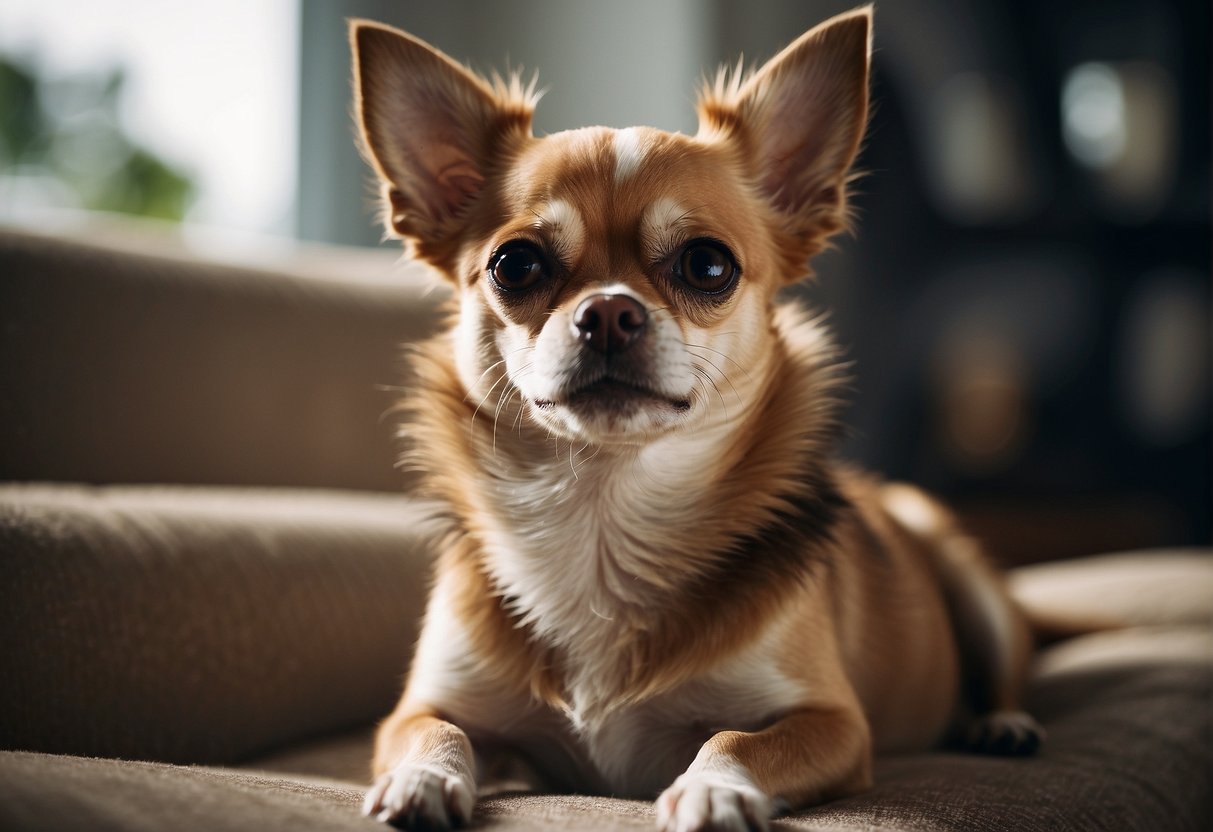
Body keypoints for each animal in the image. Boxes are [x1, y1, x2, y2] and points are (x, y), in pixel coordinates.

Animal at [351, 8, 1043, 832]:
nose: (608, 313)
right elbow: (436, 732)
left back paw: (1001, 722)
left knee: (1007, 670)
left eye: (707, 265)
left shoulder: (834, 724)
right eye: (514, 265)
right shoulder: (422, 708)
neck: (601, 516)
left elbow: (735, 738)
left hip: (964, 572)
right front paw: (423, 778)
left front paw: (715, 788)